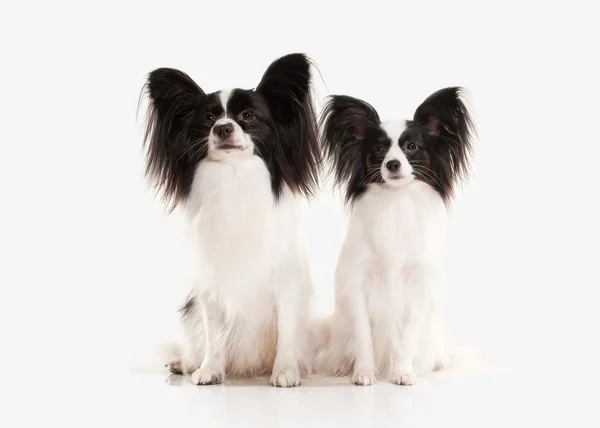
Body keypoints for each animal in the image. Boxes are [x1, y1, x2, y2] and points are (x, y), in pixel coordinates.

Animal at [141, 53, 322, 388]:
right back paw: (183, 362)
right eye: (208, 119)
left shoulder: (286, 285)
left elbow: (287, 332)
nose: (223, 128)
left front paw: (285, 371)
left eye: (248, 116)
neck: (234, 176)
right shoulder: (212, 286)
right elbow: (214, 333)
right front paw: (210, 370)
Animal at [316, 88, 476, 386]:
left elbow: (407, 336)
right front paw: (364, 373)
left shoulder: (417, 288)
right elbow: (364, 335)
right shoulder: (357, 287)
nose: (392, 164)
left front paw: (402, 372)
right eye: (379, 150)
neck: (397, 201)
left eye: (411, 146)